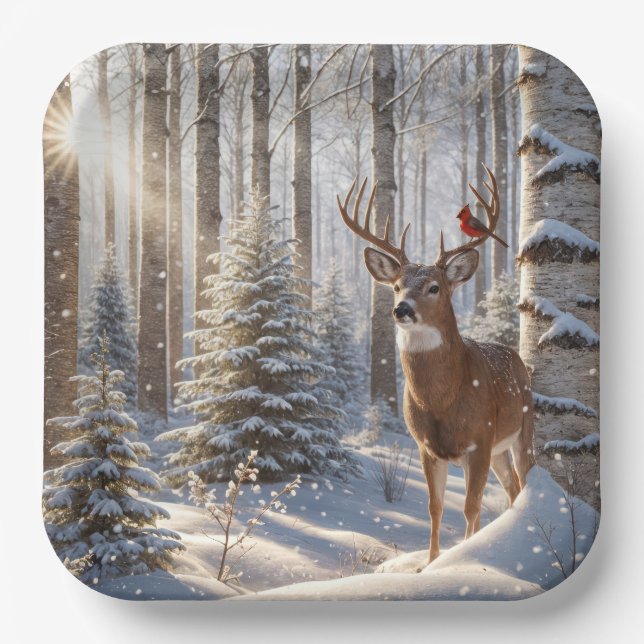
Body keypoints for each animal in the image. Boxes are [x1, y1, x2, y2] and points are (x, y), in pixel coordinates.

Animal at [337, 165, 535, 563]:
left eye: (434, 287)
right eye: (396, 286)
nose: (401, 309)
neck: (443, 400)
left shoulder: (479, 441)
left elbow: (471, 507)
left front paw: (462, 558)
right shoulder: (427, 448)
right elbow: (435, 507)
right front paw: (429, 564)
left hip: (523, 429)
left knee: (523, 482)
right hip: (499, 450)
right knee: (511, 487)